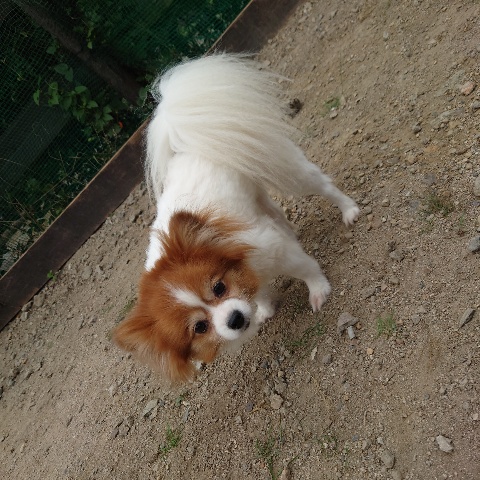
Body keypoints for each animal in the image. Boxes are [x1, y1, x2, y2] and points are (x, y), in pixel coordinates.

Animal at [113, 54, 359, 382]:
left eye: (218, 288)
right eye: (200, 327)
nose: (235, 318)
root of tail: (187, 143)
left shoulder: (271, 248)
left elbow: (305, 267)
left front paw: (318, 290)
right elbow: (262, 287)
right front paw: (265, 305)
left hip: (288, 172)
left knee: (324, 186)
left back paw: (349, 211)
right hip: (253, 195)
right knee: (276, 213)